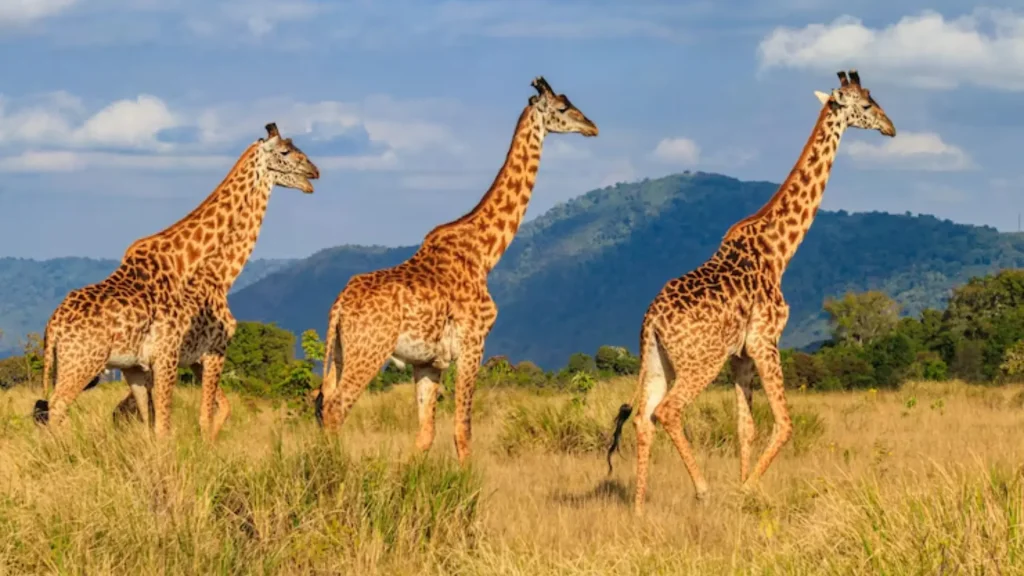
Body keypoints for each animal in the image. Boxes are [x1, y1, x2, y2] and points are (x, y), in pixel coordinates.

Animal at [34, 123, 320, 438]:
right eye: (285, 151)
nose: (314, 172)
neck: (220, 274)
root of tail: (52, 326)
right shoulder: (197, 353)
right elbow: (182, 422)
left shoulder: (171, 362)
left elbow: (203, 413)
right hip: (82, 363)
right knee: (55, 408)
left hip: (89, 365)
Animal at [315, 76, 598, 463]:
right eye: (562, 107)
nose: (592, 127)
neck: (484, 253)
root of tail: (339, 306)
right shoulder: (473, 342)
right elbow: (463, 431)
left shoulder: (428, 362)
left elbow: (425, 434)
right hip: (369, 351)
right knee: (335, 408)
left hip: (340, 352)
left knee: (322, 401)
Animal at [606, 70, 896, 515]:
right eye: (865, 105)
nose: (891, 127)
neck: (778, 251)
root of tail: (651, 320)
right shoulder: (765, 339)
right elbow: (785, 423)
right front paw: (746, 491)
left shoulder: (740, 355)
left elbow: (746, 427)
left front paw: (743, 490)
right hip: (700, 363)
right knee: (669, 412)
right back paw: (702, 489)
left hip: (656, 360)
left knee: (643, 417)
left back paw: (638, 508)